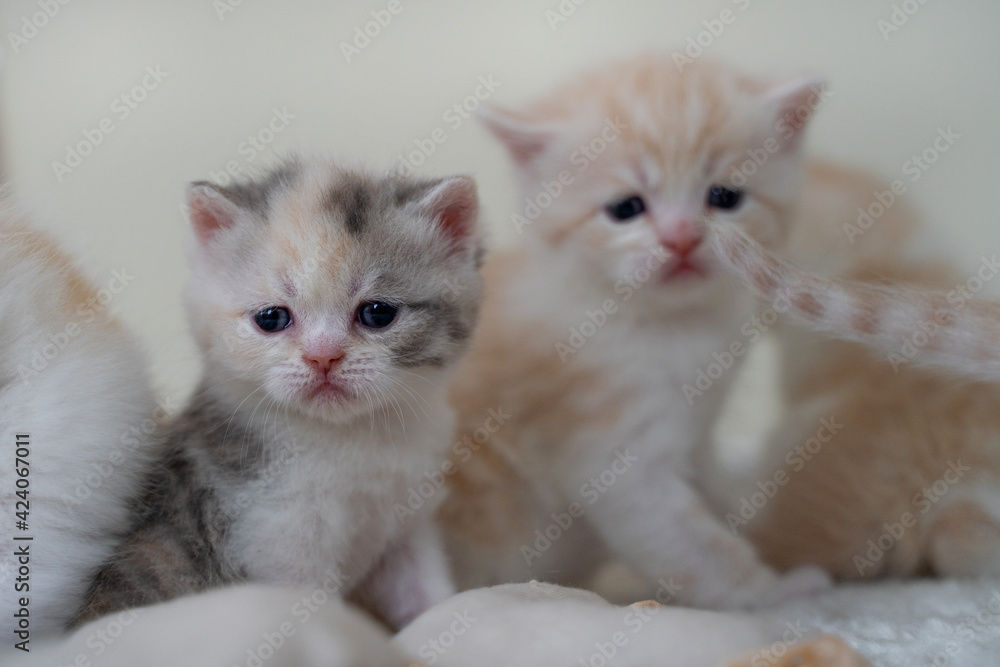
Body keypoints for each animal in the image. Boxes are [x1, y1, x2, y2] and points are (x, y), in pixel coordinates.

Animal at [75, 158, 484, 632]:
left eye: (378, 313)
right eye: (271, 318)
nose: (323, 356)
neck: (352, 443)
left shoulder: (405, 524)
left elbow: (426, 594)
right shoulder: (275, 539)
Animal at [438, 56, 828, 612]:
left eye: (724, 197)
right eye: (625, 208)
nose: (682, 237)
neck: (668, 325)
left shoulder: (699, 431)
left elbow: (719, 493)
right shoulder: (615, 454)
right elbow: (697, 547)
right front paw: (775, 592)